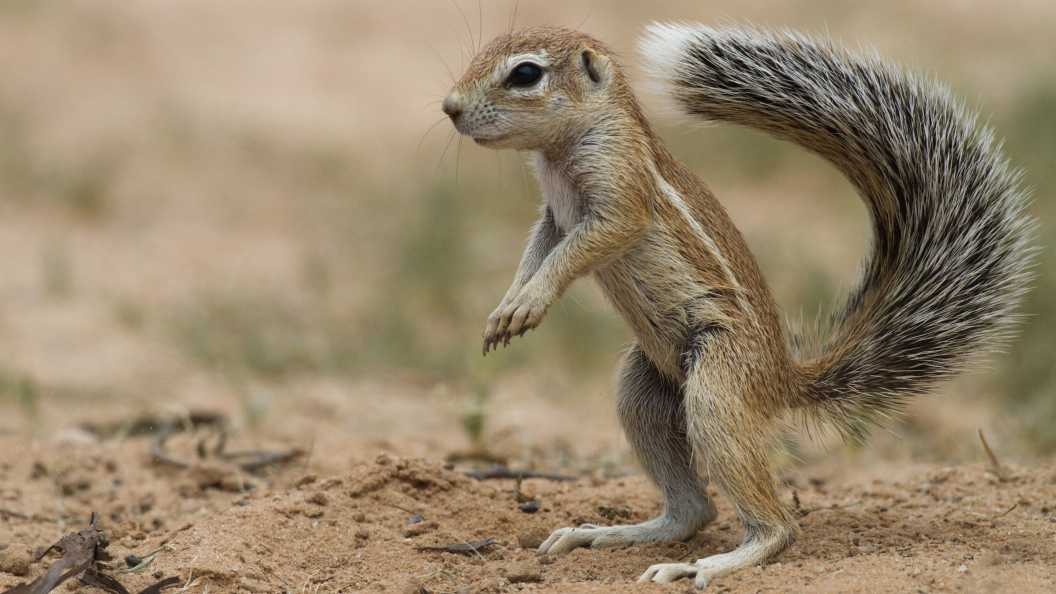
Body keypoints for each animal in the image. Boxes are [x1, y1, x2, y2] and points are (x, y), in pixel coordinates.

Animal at [437, 21, 1030, 583]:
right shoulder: (552, 216)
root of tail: (782, 377)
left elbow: (574, 252)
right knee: (692, 512)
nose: (450, 108)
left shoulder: (618, 195)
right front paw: (506, 306)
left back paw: (706, 565)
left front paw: (529, 303)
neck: (561, 152)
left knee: (777, 527)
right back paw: (607, 534)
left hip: (719, 387)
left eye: (525, 74)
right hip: (641, 389)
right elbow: (537, 252)